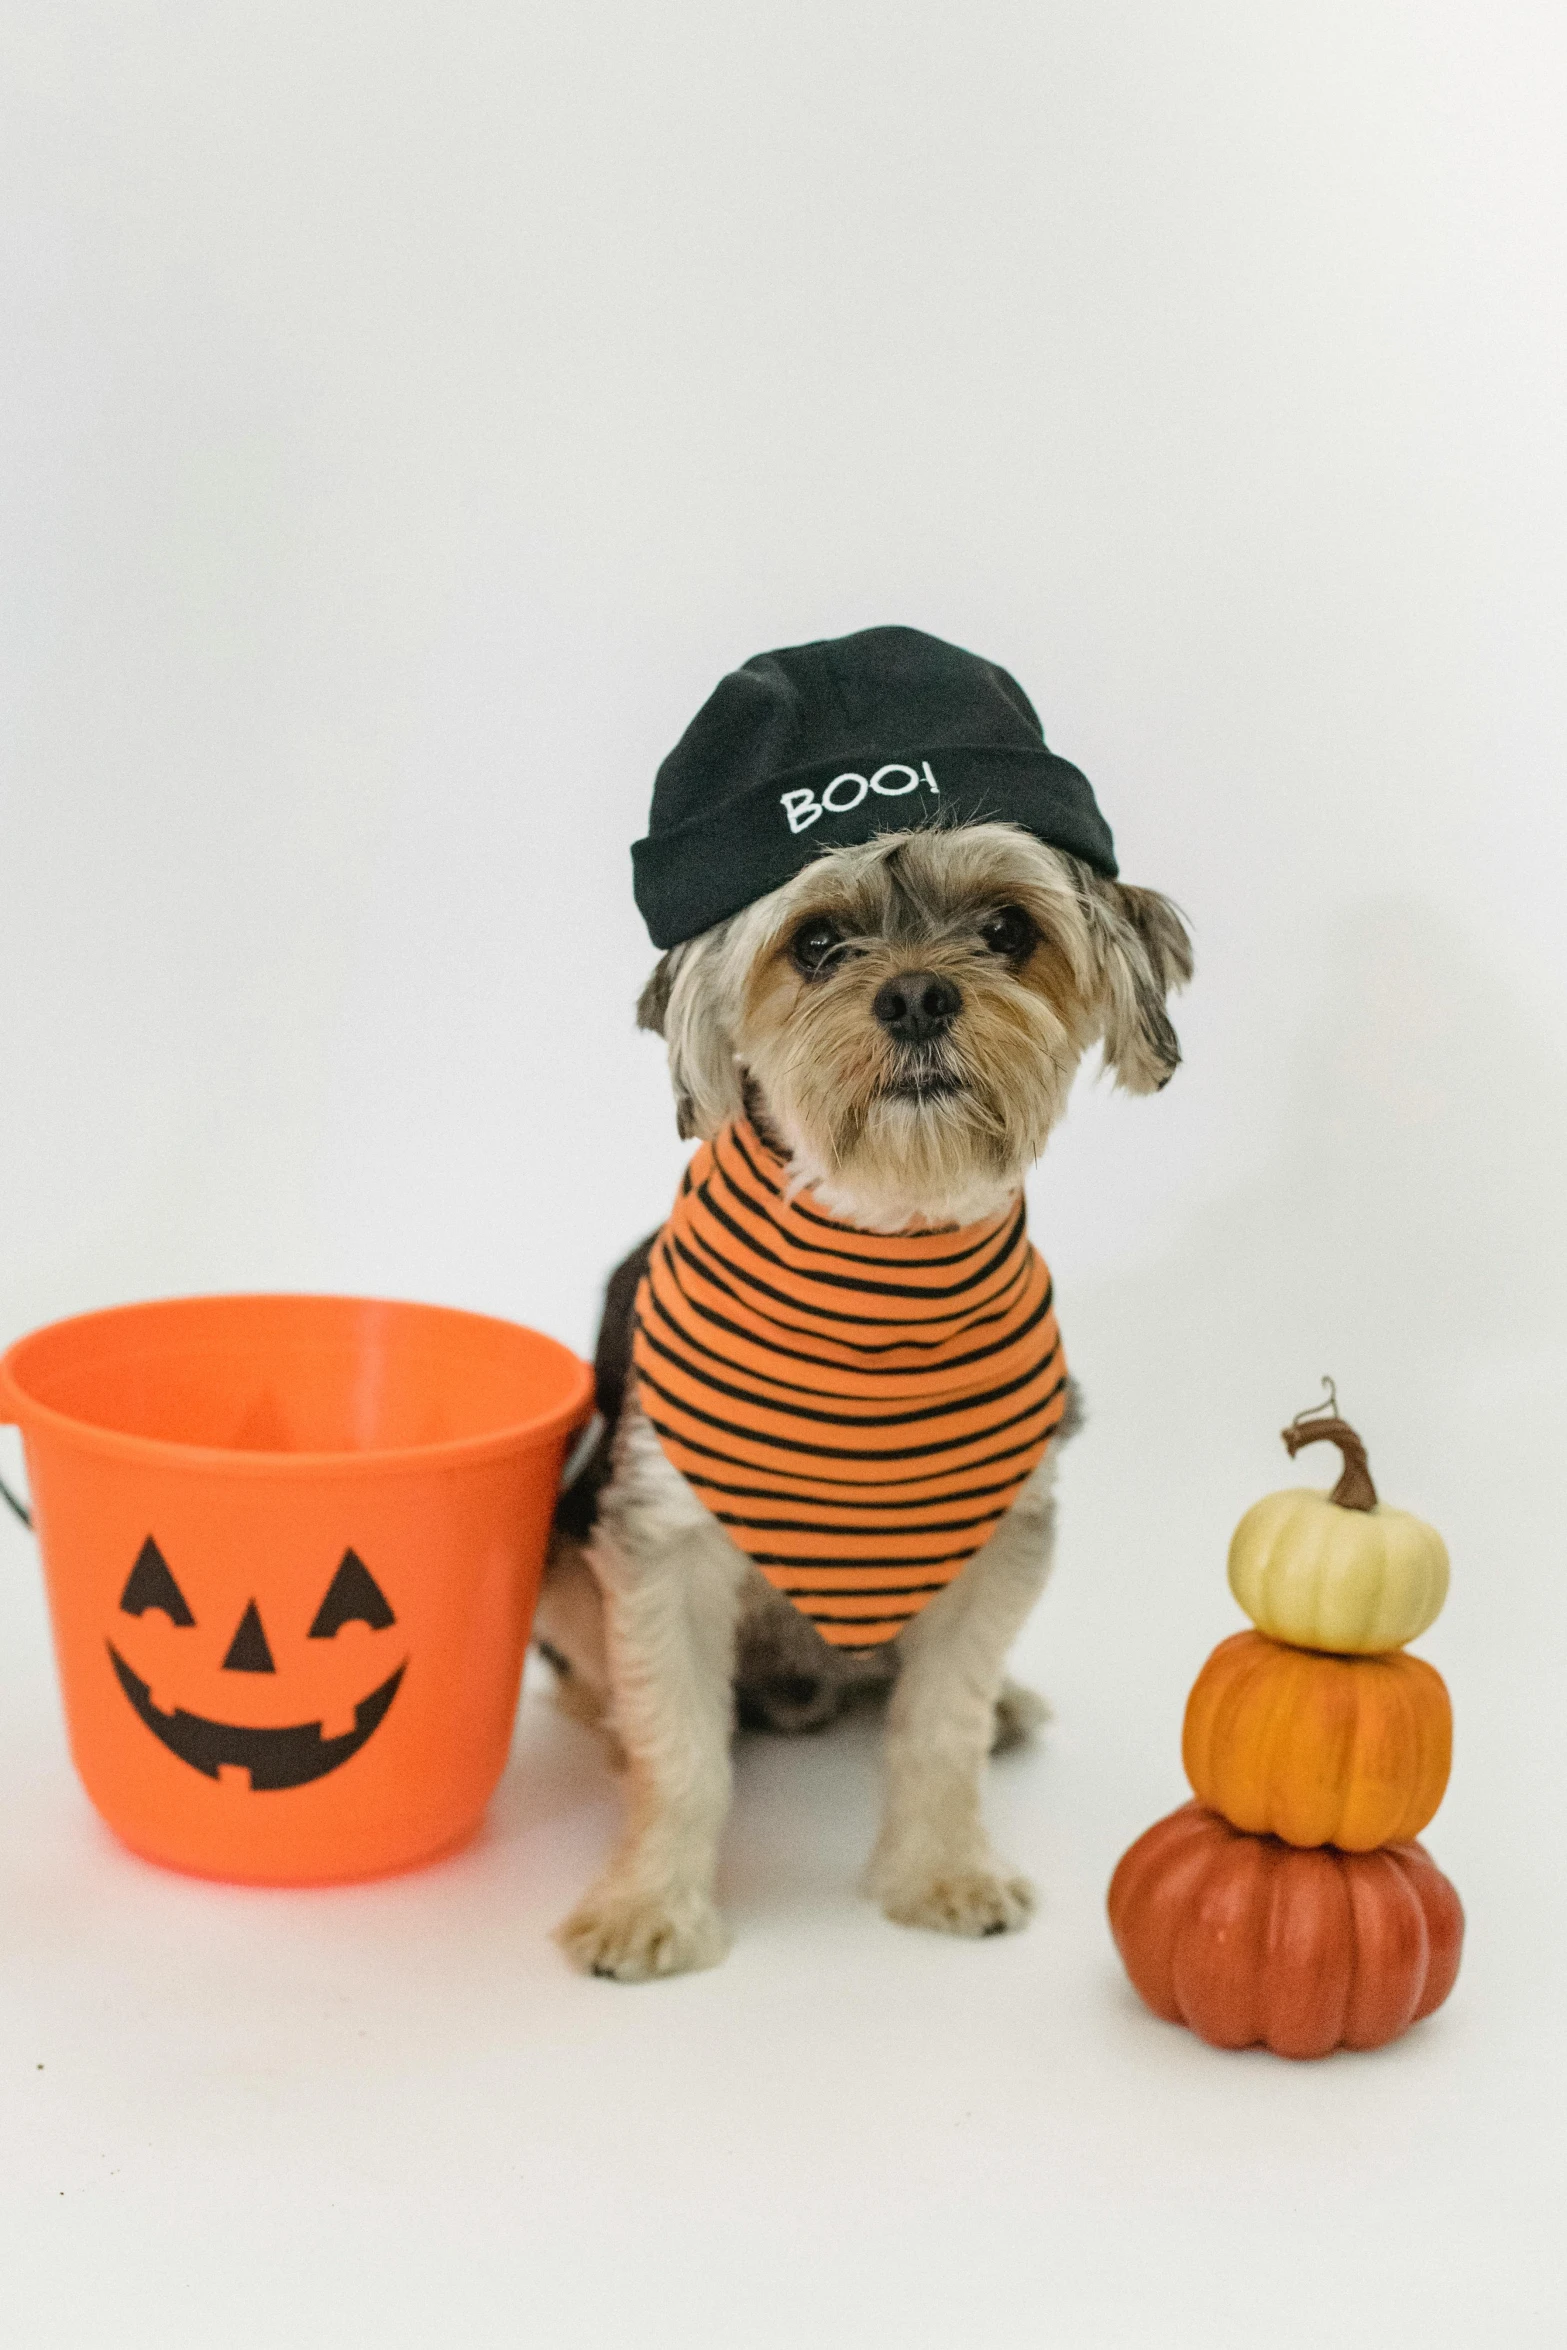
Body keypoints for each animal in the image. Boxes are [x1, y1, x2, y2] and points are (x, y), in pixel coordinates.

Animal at [540, 813, 1188, 1983]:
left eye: (1007, 930)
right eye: (816, 944)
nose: (919, 995)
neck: (883, 1260)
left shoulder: (999, 1537)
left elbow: (942, 1730)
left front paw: (943, 1873)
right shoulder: (661, 1543)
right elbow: (679, 1750)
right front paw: (646, 1905)